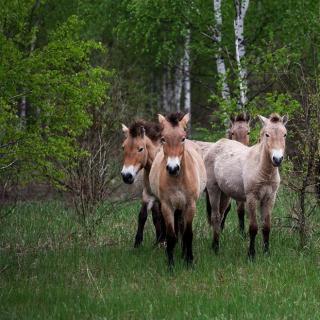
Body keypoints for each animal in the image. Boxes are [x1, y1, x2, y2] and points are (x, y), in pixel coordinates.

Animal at [120, 120, 165, 248]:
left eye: (140, 149)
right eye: (123, 147)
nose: (126, 176)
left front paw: (163, 241)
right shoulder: (147, 195)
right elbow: (142, 215)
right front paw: (137, 242)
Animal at [149, 114, 206, 266]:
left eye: (183, 138)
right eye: (163, 139)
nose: (173, 168)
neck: (178, 180)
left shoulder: (190, 205)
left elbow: (188, 234)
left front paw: (189, 261)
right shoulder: (167, 206)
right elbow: (171, 236)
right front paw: (170, 264)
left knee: (182, 228)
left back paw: (183, 254)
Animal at [205, 114, 288, 258]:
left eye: (285, 134)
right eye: (267, 135)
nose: (277, 159)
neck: (262, 169)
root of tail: (218, 143)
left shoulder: (270, 198)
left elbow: (266, 227)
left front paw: (266, 253)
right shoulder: (251, 198)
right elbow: (253, 227)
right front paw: (251, 255)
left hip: (225, 194)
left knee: (220, 215)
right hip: (213, 190)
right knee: (215, 217)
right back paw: (215, 248)